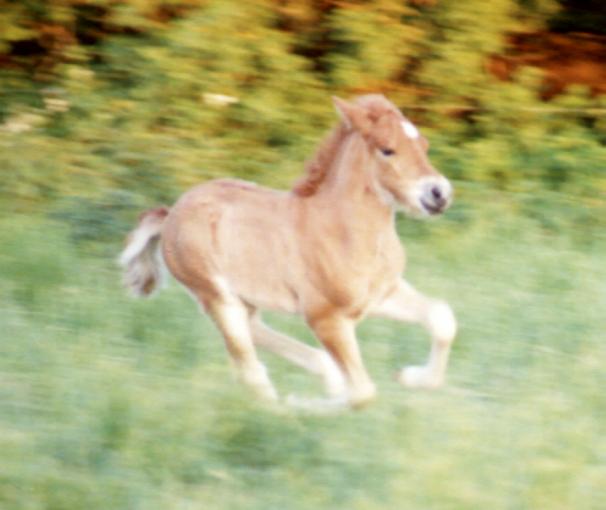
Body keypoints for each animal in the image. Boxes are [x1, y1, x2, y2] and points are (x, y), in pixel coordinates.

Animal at [121, 93, 458, 408]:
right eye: (387, 149)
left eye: (424, 145)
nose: (439, 193)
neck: (343, 230)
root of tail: (170, 214)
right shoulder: (325, 317)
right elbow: (362, 393)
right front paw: (303, 403)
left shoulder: (382, 296)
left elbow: (442, 318)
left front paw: (409, 376)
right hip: (216, 297)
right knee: (250, 367)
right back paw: (283, 406)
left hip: (243, 299)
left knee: (257, 336)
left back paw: (325, 378)